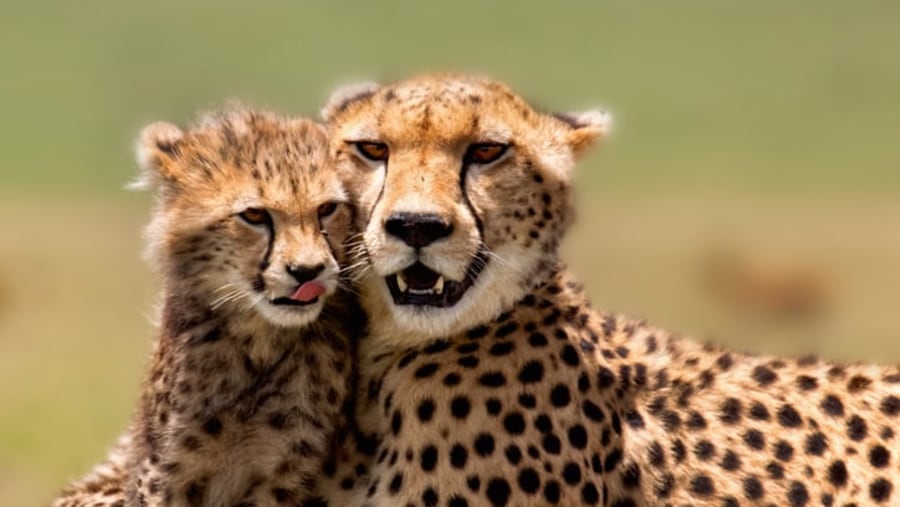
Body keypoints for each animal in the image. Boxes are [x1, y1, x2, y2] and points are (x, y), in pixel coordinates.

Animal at [52, 108, 358, 507]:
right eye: (255, 216)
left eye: (327, 209)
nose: (308, 271)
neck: (259, 343)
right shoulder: (166, 474)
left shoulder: (282, 476)